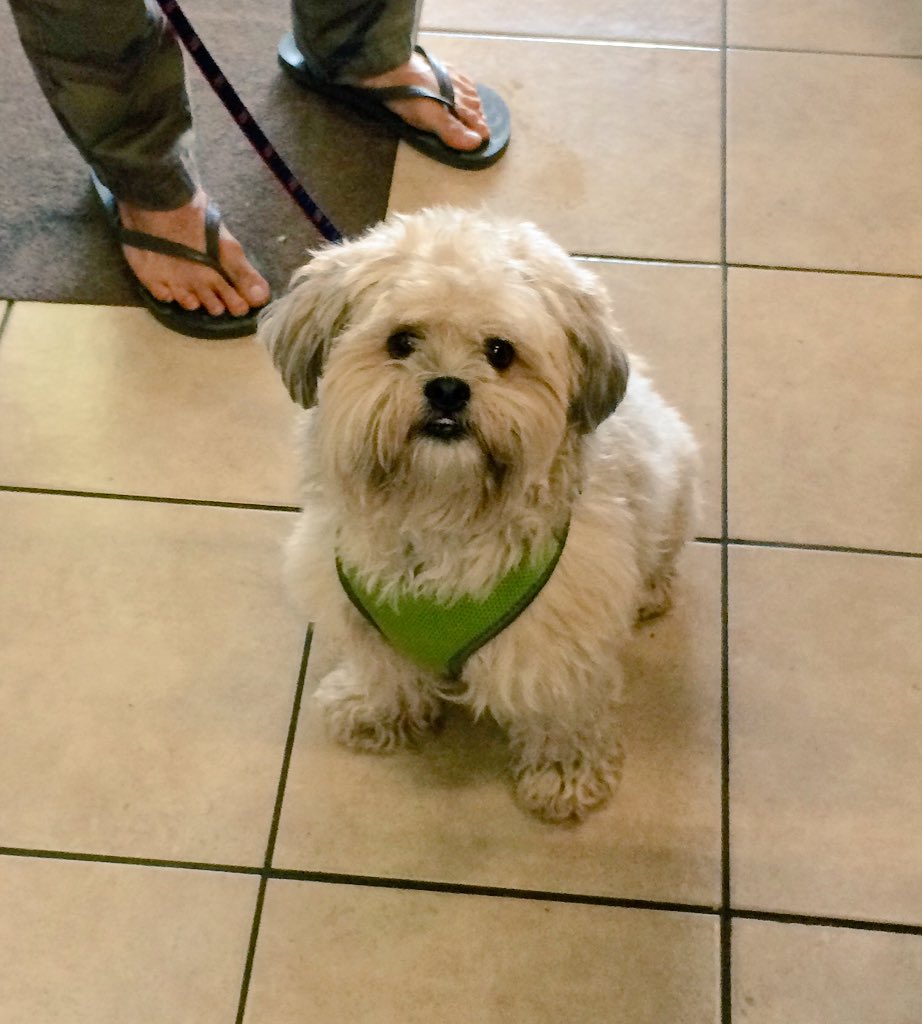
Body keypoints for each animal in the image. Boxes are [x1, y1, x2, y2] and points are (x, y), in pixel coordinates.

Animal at [256, 207, 696, 823]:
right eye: (401, 341)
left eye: (500, 352)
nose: (447, 389)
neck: (443, 510)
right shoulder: (359, 608)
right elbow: (384, 670)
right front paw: (375, 710)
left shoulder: (558, 641)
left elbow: (561, 713)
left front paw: (563, 772)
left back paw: (651, 591)